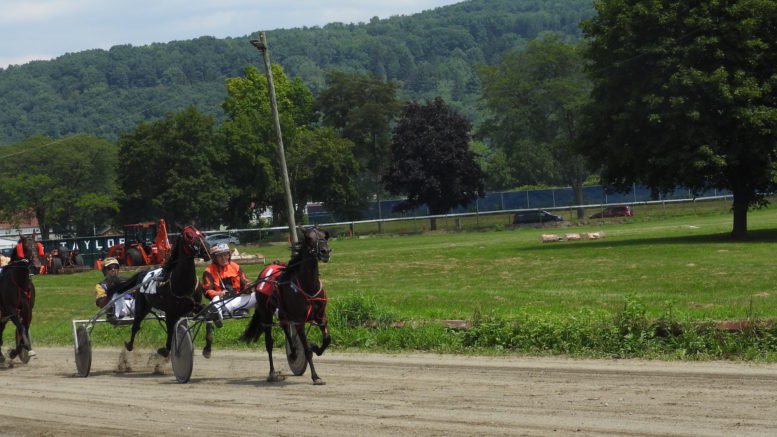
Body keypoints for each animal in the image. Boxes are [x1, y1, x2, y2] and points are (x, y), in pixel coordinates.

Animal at [0, 233, 41, 362]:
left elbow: (24, 328)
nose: (37, 266)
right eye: (25, 247)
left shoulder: (27, 310)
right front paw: (25, 349)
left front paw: (16, 352)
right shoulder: (11, 310)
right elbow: (21, 328)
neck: (19, 282)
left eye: (36, 247)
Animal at [123, 227, 209, 356]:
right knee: (136, 325)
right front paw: (167, 349)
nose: (206, 251)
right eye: (189, 235)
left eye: (201, 233)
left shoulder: (194, 307)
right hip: (141, 306)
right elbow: (170, 330)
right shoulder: (170, 312)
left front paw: (207, 348)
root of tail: (142, 272)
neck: (182, 282)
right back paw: (129, 345)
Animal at [239, 227, 330, 384]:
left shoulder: (320, 317)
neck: (308, 287)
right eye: (309, 238)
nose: (325, 251)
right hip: (266, 313)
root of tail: (265, 271)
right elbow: (306, 349)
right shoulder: (299, 321)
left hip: (283, 313)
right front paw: (316, 377)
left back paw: (293, 352)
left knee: (285, 327)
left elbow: (327, 340)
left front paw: (315, 347)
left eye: (324, 236)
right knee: (269, 343)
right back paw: (272, 373)